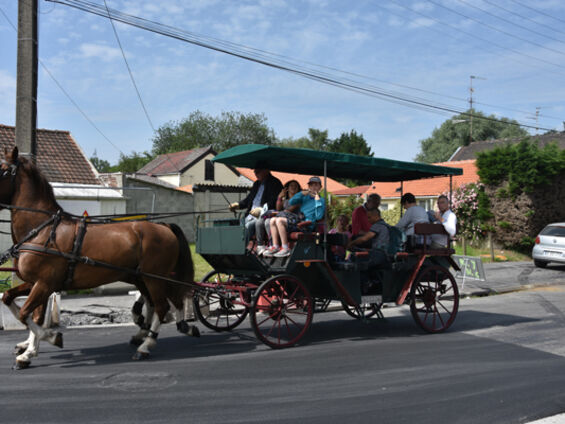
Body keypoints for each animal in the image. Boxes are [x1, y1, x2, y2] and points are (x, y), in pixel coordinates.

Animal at [0, 146, 198, 368]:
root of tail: (163, 226)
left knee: (163, 305)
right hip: (145, 278)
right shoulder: (38, 283)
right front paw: (29, 351)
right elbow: (16, 304)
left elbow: (26, 314)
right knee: (162, 302)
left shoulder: (44, 284)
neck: (42, 230)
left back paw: (146, 345)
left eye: (2, 170)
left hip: (154, 278)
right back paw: (170, 329)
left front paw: (49, 338)